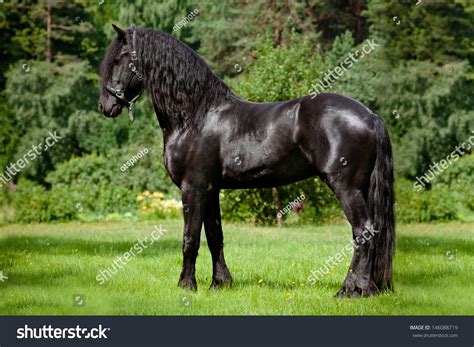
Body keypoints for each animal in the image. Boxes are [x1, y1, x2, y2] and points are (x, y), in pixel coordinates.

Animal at [98, 25, 394, 300]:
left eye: (119, 59)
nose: (105, 106)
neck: (197, 115)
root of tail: (370, 116)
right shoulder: (210, 190)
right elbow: (214, 236)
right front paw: (220, 283)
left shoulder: (193, 188)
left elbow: (190, 238)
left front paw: (186, 285)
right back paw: (361, 288)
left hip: (346, 187)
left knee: (363, 231)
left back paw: (353, 290)